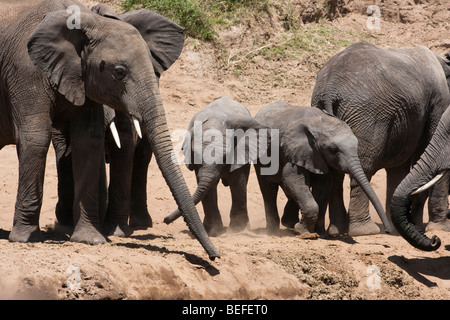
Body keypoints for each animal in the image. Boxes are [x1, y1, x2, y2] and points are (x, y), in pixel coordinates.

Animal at [1, 0, 220, 260]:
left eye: (154, 71)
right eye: (119, 72)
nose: (215, 256)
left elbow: (90, 142)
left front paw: (94, 238)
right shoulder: (26, 72)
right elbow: (37, 138)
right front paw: (27, 238)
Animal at [163, 96, 268, 236]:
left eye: (225, 156)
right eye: (195, 155)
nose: (165, 220)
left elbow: (237, 181)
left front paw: (236, 230)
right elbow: (208, 186)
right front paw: (213, 232)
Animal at [253, 101, 390, 236]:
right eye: (333, 149)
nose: (387, 230)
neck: (319, 123)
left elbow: (324, 185)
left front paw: (318, 233)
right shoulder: (294, 151)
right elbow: (292, 180)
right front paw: (305, 233)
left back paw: (288, 223)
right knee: (269, 189)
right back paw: (273, 232)